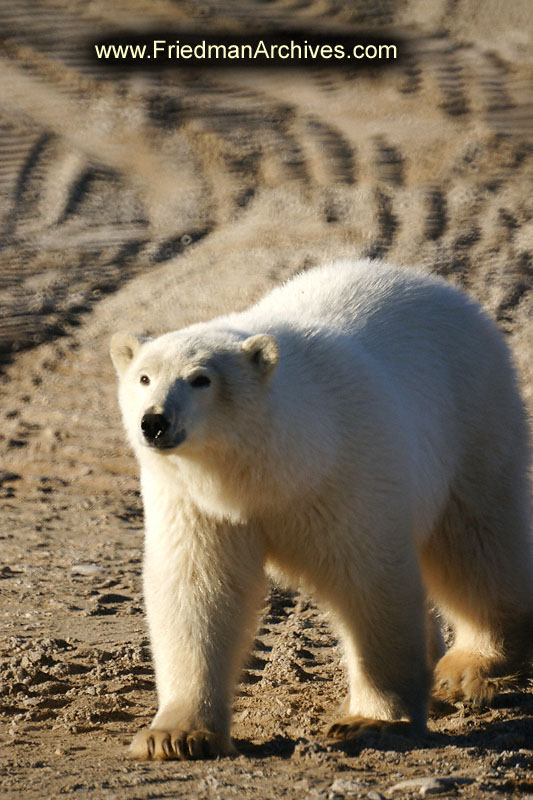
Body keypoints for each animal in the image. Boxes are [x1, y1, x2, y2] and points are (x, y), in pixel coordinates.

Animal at [110, 260, 528, 760]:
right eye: (144, 378)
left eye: (200, 379)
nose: (154, 422)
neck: (275, 467)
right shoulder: (197, 504)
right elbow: (197, 589)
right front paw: (175, 735)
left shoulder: (347, 475)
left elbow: (371, 583)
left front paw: (371, 722)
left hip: (474, 419)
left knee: (475, 544)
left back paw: (470, 665)